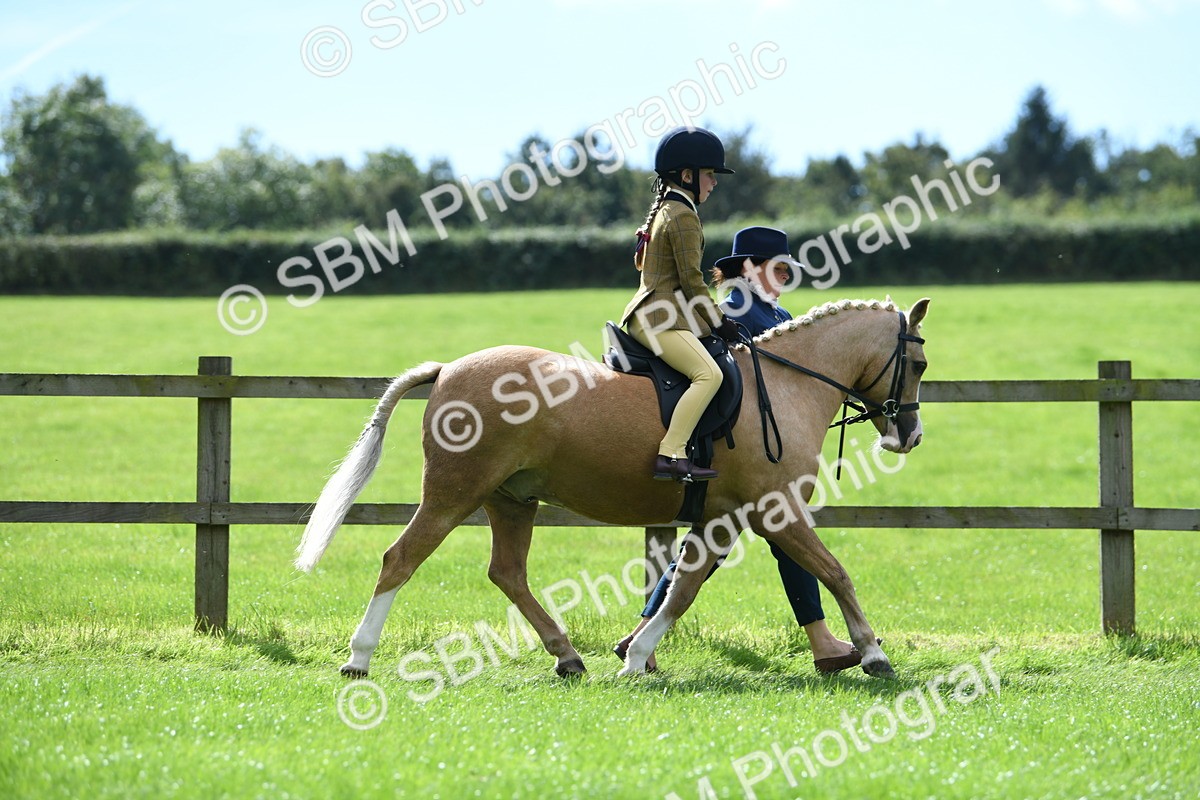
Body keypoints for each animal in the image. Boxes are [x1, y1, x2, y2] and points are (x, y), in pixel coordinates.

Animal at [295, 296, 930, 681]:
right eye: (920, 364)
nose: (910, 435)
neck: (782, 384)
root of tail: (448, 369)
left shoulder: (721, 519)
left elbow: (683, 587)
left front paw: (637, 656)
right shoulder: (777, 511)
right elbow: (834, 573)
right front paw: (873, 653)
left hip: (512, 499)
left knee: (508, 573)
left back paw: (568, 656)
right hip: (453, 494)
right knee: (400, 559)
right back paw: (358, 658)